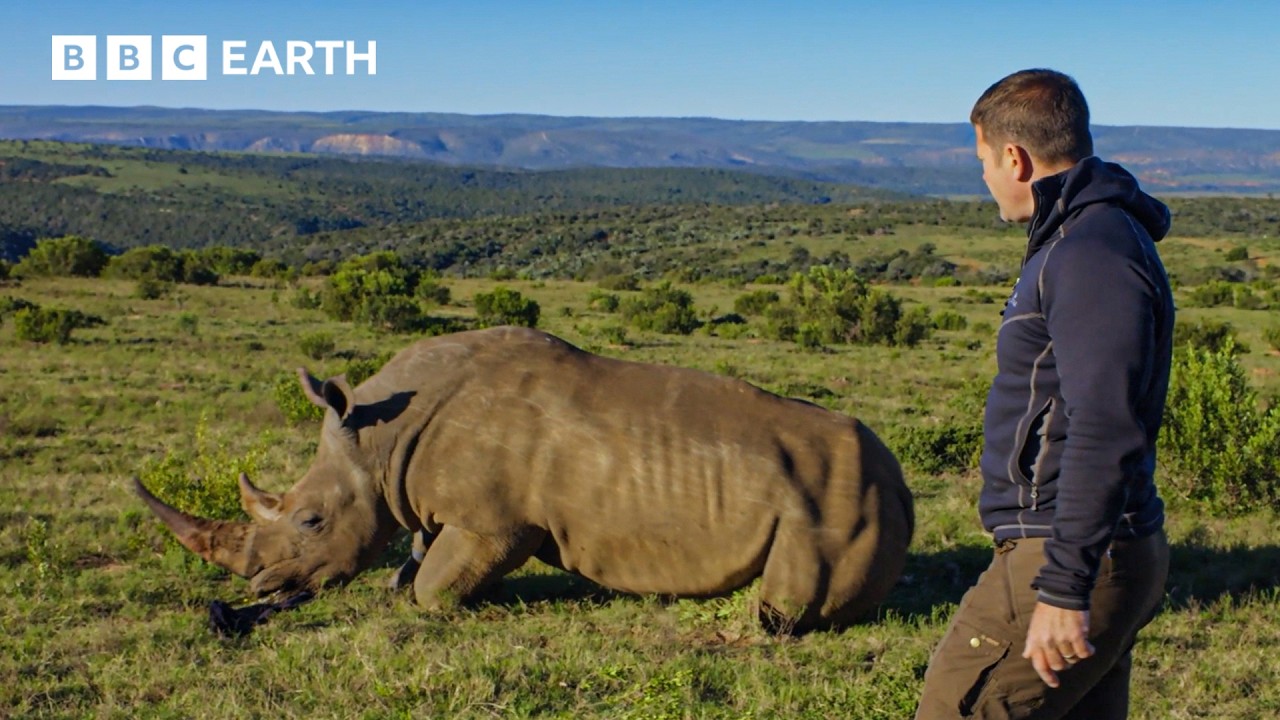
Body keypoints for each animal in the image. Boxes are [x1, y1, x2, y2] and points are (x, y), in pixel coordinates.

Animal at [136, 326, 914, 632]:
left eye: (310, 521)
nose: (261, 590)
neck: (379, 442)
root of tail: (903, 482)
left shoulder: (494, 524)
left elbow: (432, 589)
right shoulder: (440, 513)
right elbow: (414, 566)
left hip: (845, 499)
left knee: (784, 610)